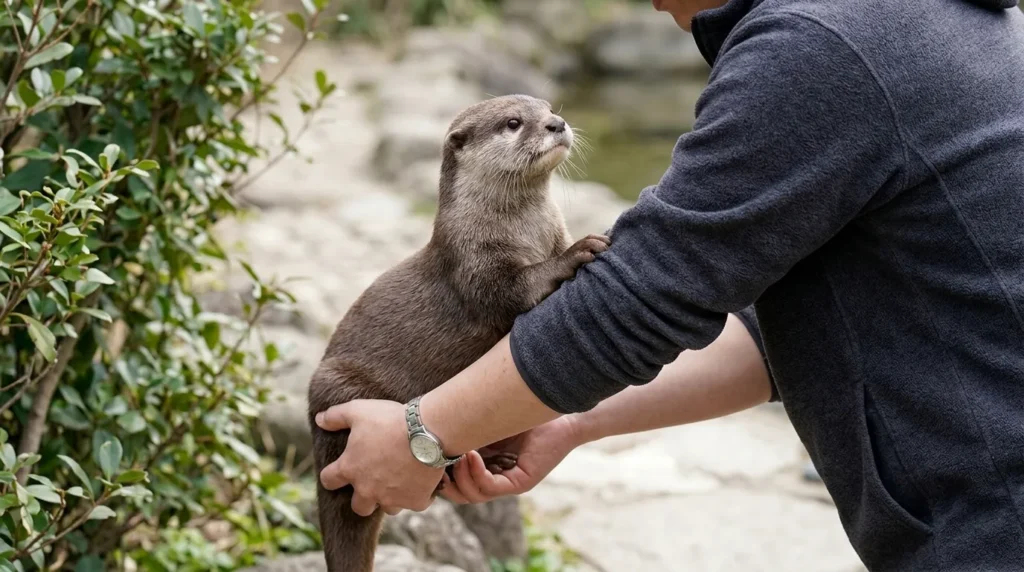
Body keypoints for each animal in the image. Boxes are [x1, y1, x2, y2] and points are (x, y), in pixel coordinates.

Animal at [307, 94, 610, 572]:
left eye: (549, 108)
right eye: (513, 122)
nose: (556, 124)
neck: (524, 232)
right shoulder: (474, 263)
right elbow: (516, 290)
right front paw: (578, 252)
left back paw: (494, 459)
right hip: (335, 388)